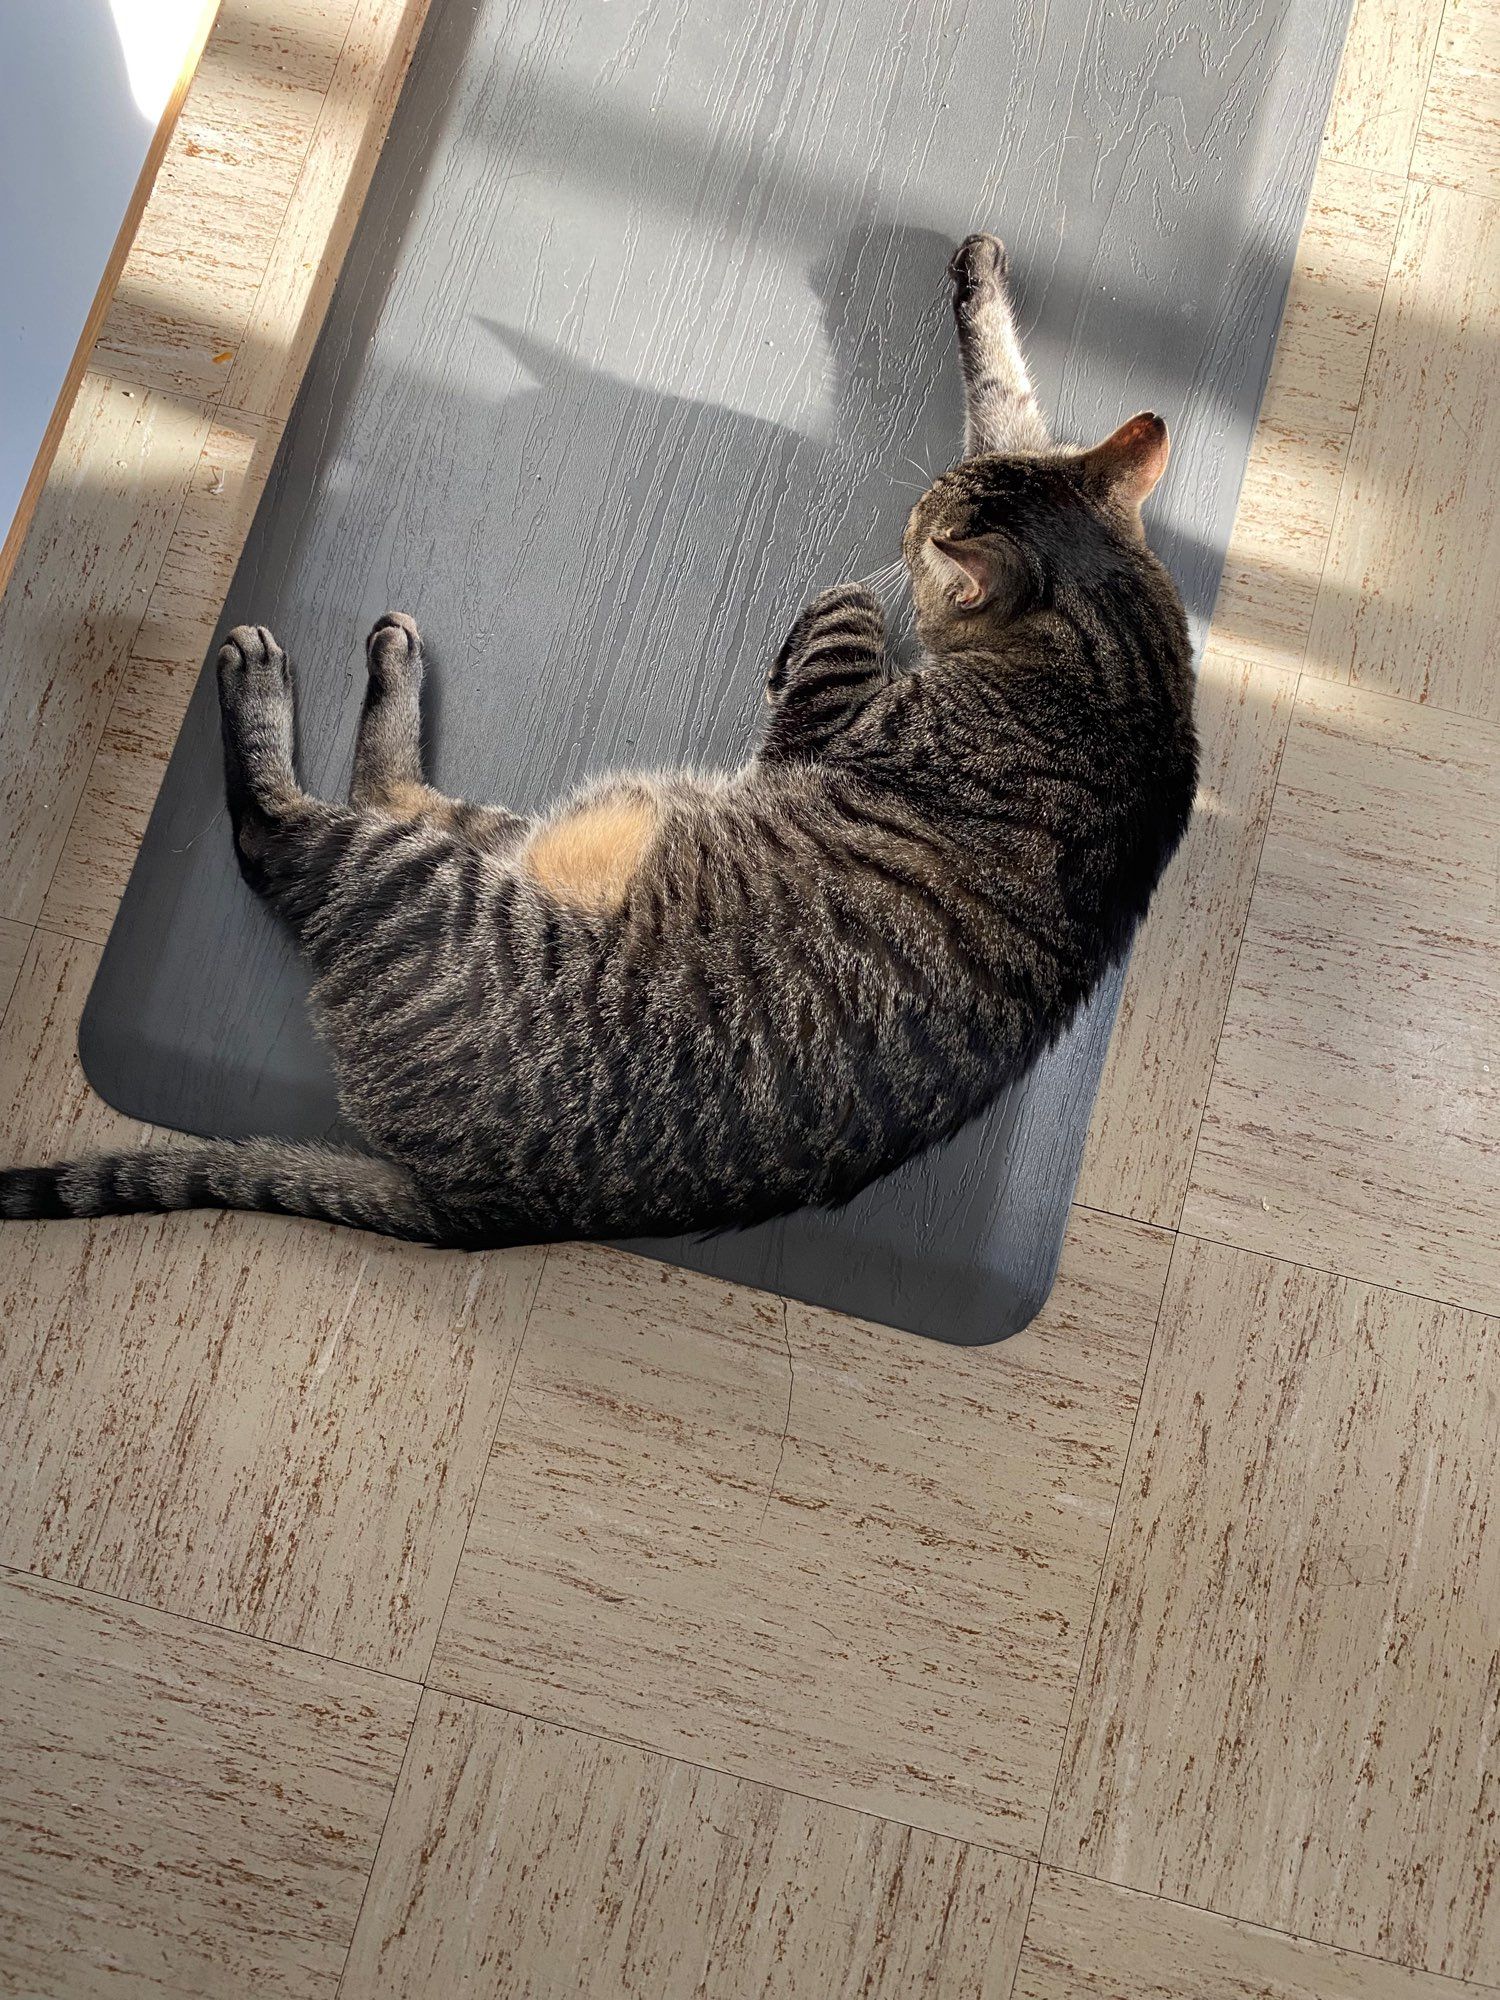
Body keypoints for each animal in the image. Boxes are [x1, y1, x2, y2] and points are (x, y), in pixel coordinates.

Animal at [0, 230, 1208, 1232]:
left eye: (921, 524)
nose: (910, 523)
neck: (1123, 664)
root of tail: (478, 1211)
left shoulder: (832, 712)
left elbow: (847, 615)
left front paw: (848, 598)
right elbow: (1005, 394)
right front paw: (978, 281)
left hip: (431, 885)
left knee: (280, 835)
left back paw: (275, 679)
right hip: (534, 836)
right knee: (389, 795)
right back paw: (391, 662)